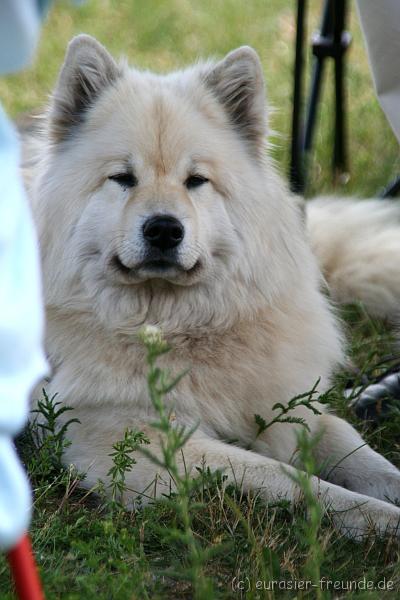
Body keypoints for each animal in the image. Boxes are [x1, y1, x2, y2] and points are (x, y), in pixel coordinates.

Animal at [27, 35, 400, 536]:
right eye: (123, 178)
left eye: (196, 181)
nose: (164, 229)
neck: (173, 325)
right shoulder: (135, 440)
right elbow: (289, 479)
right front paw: (379, 521)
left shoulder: (291, 407)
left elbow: (361, 452)